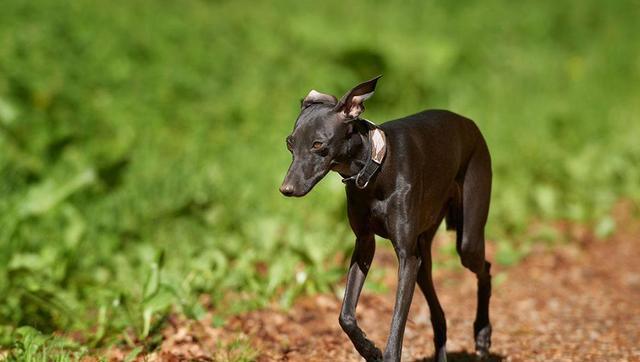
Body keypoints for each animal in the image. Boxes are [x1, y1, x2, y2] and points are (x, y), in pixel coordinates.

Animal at [278, 75, 492, 360]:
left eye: (318, 144)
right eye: (290, 143)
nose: (286, 189)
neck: (375, 170)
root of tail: (469, 123)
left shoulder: (406, 257)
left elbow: (397, 324)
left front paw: (384, 351)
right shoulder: (365, 244)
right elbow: (345, 315)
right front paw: (369, 350)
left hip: (467, 239)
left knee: (485, 268)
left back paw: (482, 334)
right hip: (423, 256)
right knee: (439, 314)